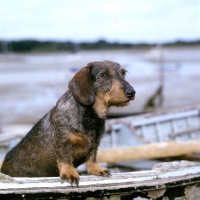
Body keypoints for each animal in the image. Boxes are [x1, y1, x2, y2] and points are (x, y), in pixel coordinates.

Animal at [0, 61, 135, 186]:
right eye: (104, 75)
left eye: (123, 73)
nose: (132, 92)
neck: (90, 115)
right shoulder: (63, 142)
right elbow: (65, 159)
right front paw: (69, 173)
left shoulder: (95, 143)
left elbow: (92, 158)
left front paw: (96, 169)